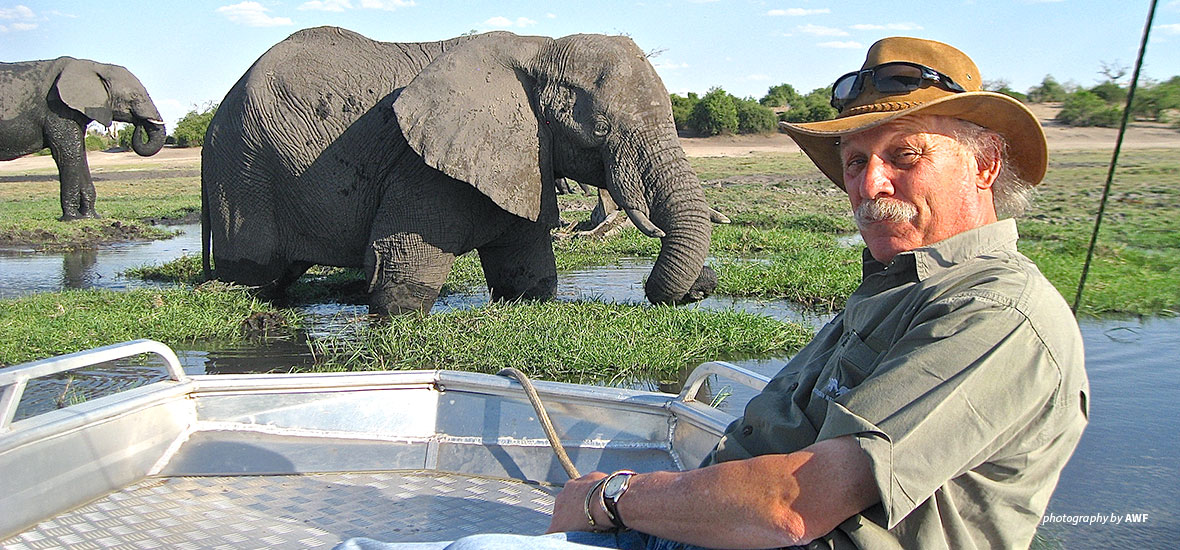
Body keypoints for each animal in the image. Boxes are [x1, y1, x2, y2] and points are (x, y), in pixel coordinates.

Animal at [0, 56, 168, 219]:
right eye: (134, 96)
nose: (139, 125)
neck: (96, 66)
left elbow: (80, 153)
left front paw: (91, 216)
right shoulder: (57, 109)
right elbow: (69, 154)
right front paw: (73, 218)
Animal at [201, 26, 712, 313]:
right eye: (600, 128)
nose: (701, 289)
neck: (540, 49)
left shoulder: (524, 159)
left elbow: (530, 278)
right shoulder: (421, 168)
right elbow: (402, 277)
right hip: (243, 169)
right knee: (256, 273)